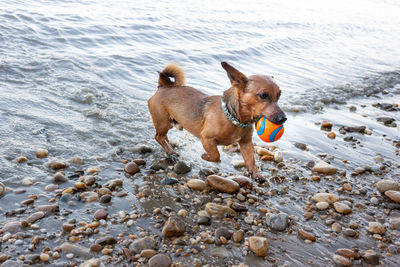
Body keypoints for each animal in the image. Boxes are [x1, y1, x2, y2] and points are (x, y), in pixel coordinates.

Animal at [148, 62, 286, 182]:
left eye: (279, 96)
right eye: (263, 95)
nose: (283, 118)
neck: (235, 119)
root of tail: (163, 86)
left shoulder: (246, 143)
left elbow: (251, 160)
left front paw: (256, 174)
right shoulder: (206, 138)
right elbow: (216, 156)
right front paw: (205, 156)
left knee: (163, 137)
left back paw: (170, 147)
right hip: (163, 123)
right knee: (158, 137)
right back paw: (170, 151)